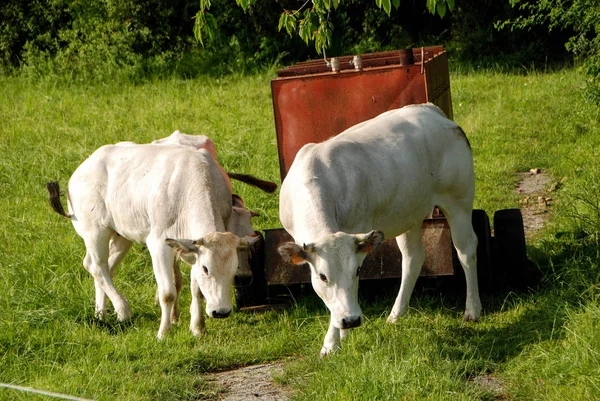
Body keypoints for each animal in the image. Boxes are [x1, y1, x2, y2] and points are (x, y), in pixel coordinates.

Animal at [48, 144, 258, 338]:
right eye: (206, 269)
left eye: (233, 268)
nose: (221, 312)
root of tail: (82, 169)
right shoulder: (158, 244)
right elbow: (167, 293)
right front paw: (164, 332)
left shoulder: (191, 248)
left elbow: (196, 289)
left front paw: (198, 328)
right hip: (95, 231)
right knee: (96, 266)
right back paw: (123, 311)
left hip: (122, 235)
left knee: (106, 267)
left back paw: (101, 314)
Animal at [278, 102, 482, 354]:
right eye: (323, 277)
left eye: (357, 271)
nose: (351, 320)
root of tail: (431, 110)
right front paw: (340, 334)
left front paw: (332, 342)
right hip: (409, 212)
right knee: (413, 257)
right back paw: (396, 315)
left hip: (458, 200)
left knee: (466, 250)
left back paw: (472, 310)